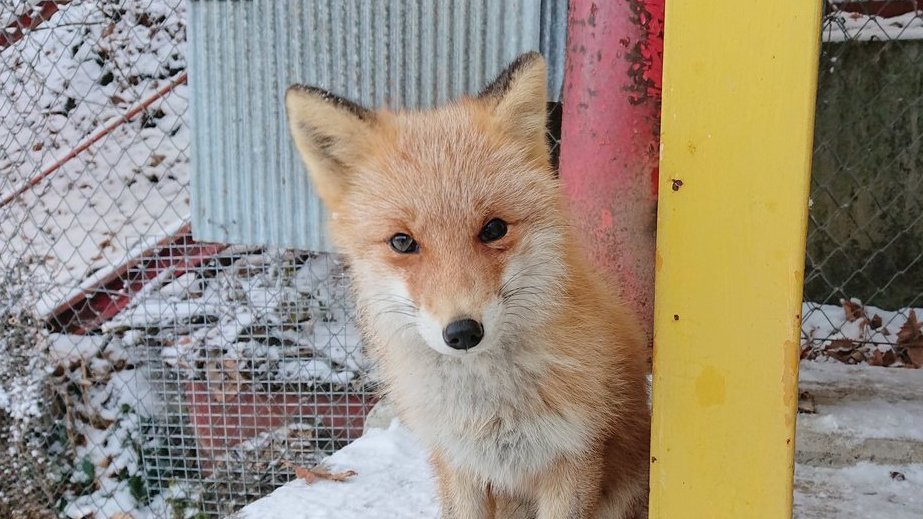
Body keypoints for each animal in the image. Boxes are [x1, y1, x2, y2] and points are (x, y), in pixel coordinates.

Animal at [286, 50, 652, 516]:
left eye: (494, 229)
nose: (462, 332)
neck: (489, 411)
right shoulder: (459, 465)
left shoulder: (573, 458)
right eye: (402, 242)